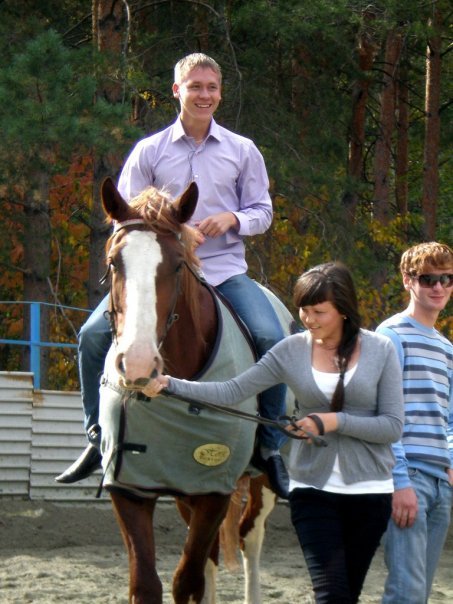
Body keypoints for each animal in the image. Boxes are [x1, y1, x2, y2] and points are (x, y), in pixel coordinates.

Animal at [97, 177, 296, 604]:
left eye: (175, 264)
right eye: (114, 262)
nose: (137, 365)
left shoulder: (215, 492)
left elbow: (186, 581)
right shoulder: (130, 489)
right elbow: (148, 583)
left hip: (261, 484)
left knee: (249, 538)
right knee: (211, 557)